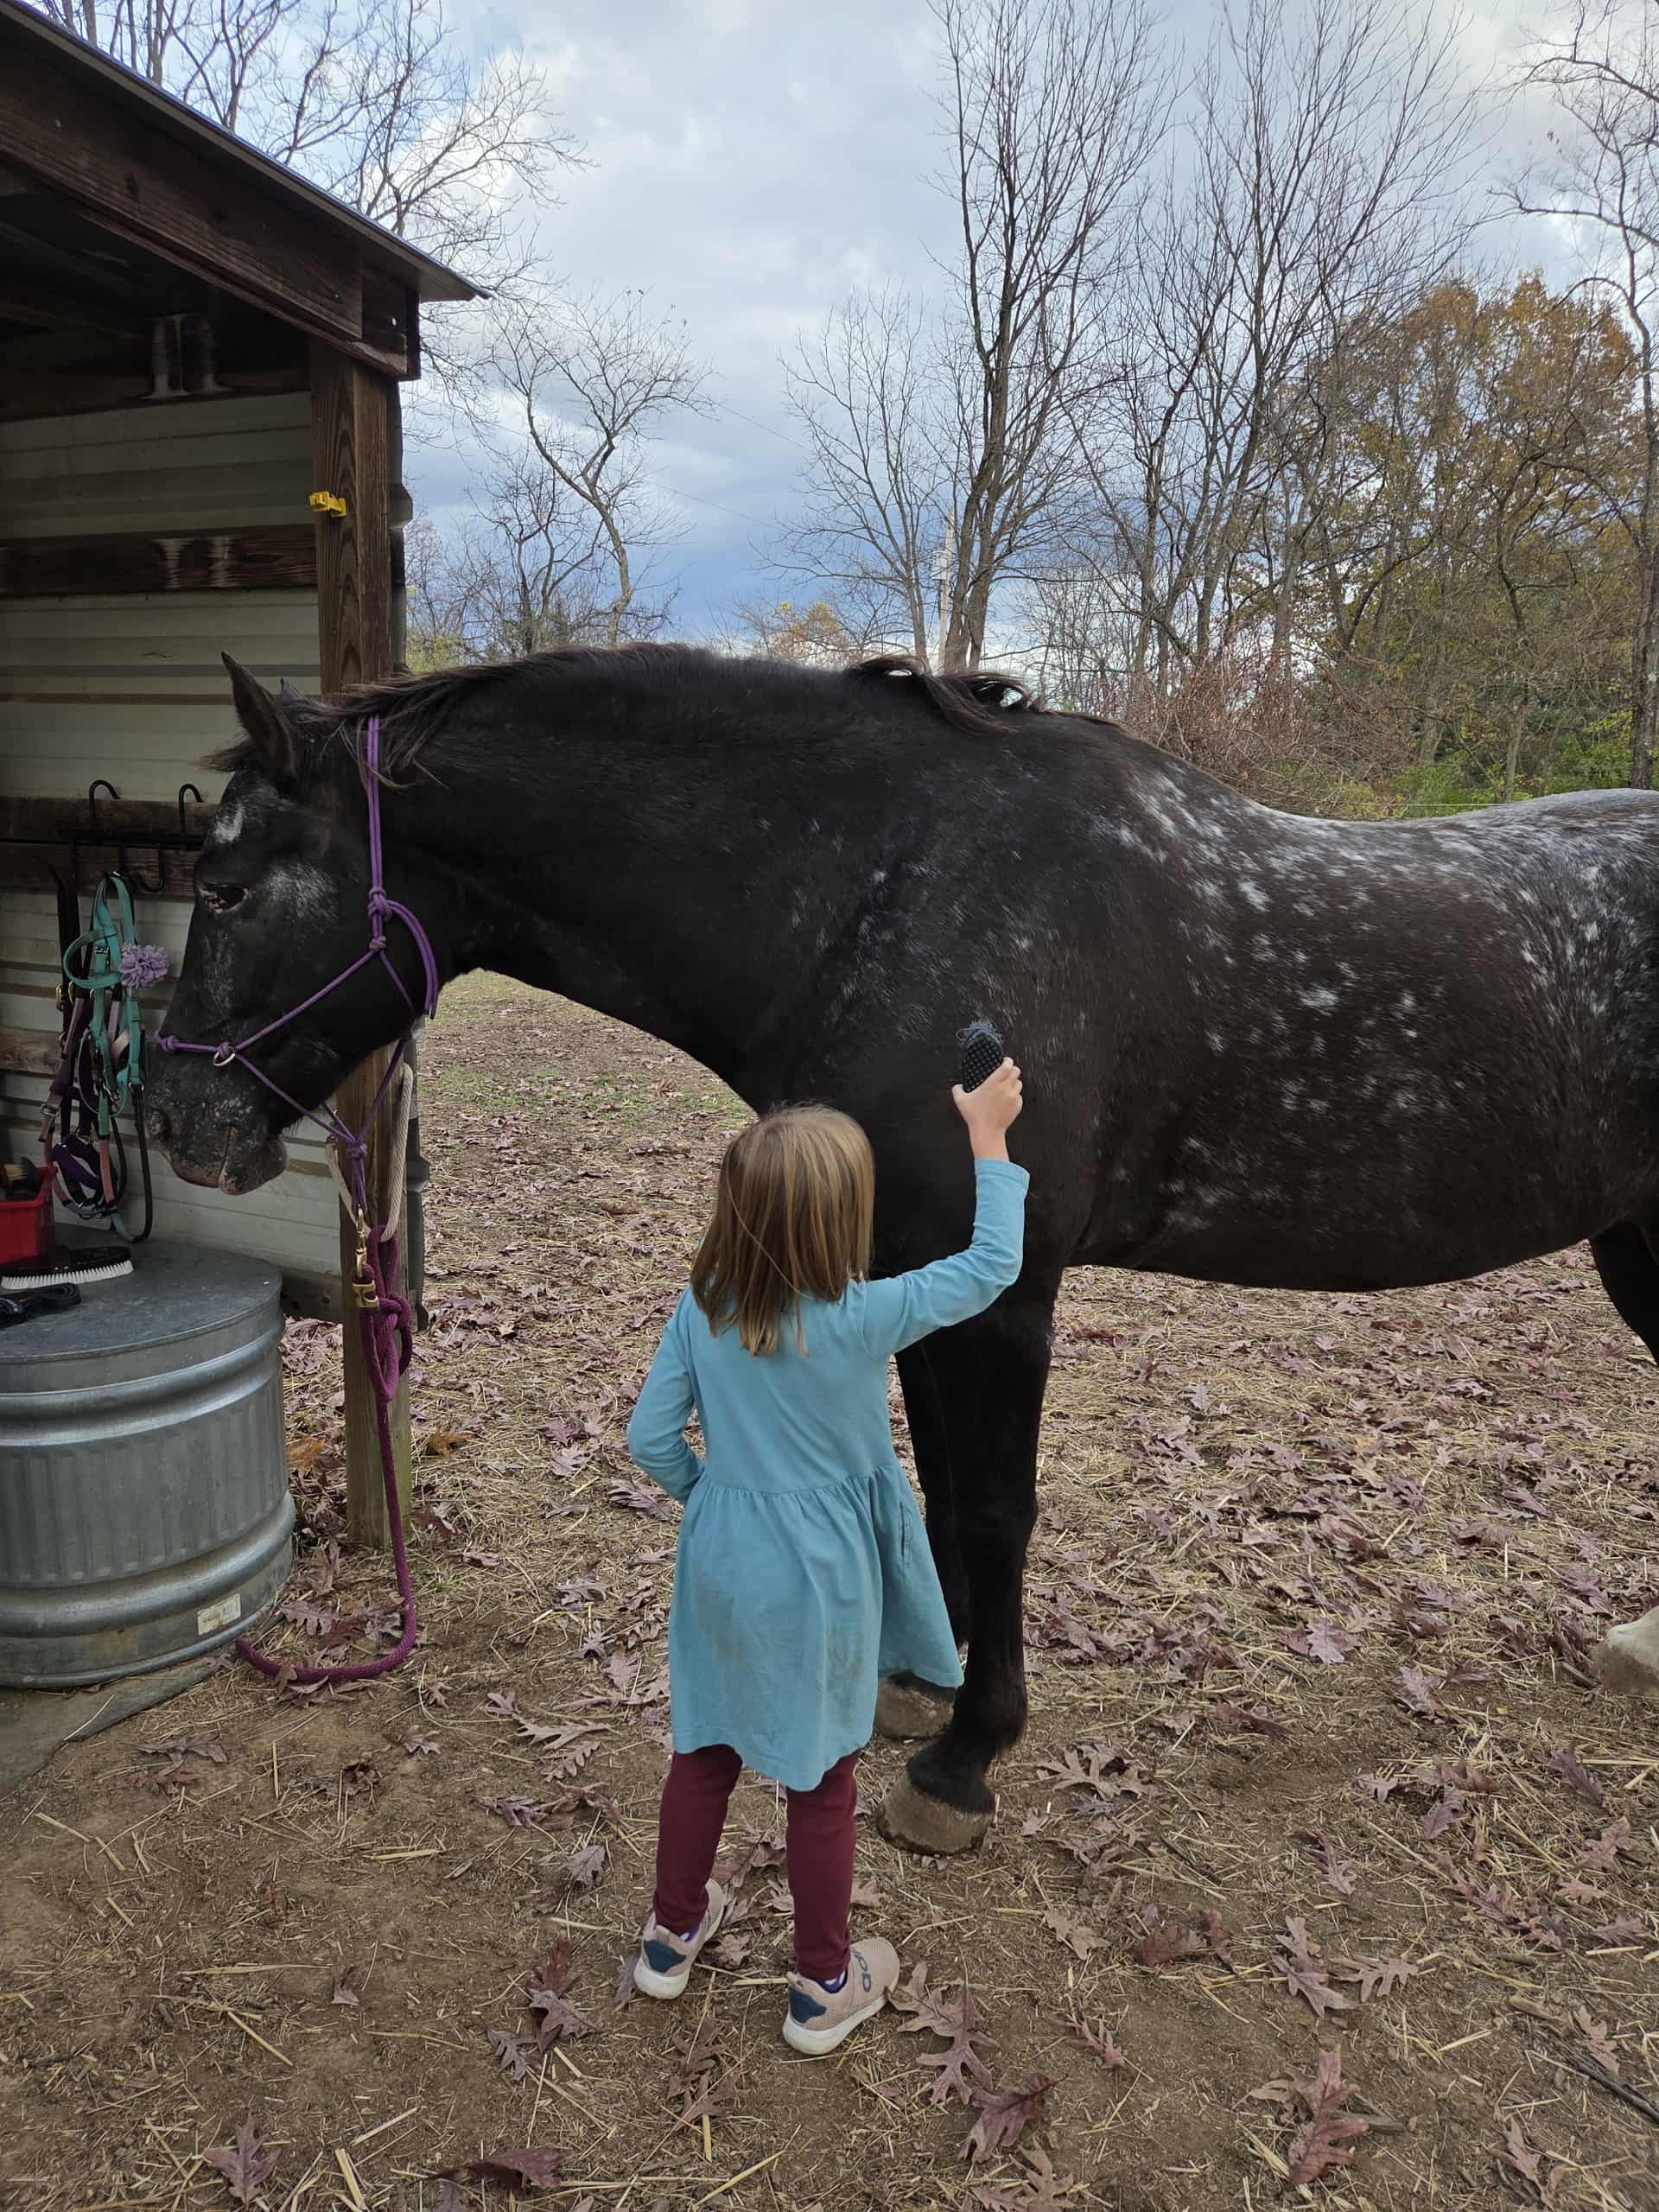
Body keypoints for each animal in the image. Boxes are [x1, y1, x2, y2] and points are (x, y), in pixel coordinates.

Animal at [146, 644, 1659, 1853]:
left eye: (225, 890)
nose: (173, 1118)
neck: (886, 888)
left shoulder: (1004, 1294)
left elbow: (993, 1509)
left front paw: (968, 1755)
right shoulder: (917, 1277)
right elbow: (938, 1493)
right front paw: (920, 1680)